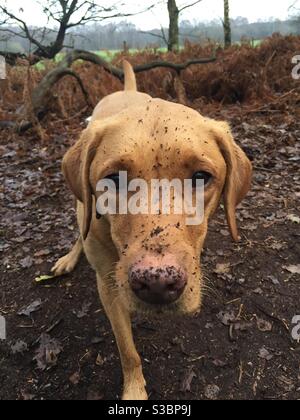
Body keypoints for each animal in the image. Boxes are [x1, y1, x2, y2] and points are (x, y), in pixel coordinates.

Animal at [52, 60, 253, 400]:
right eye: (114, 179)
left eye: (201, 176)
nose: (158, 283)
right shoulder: (108, 285)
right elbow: (127, 351)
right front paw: (134, 390)